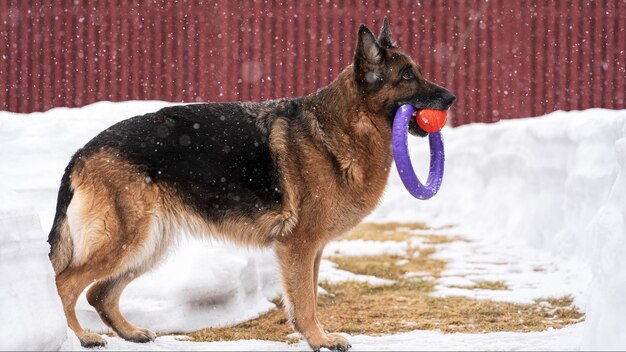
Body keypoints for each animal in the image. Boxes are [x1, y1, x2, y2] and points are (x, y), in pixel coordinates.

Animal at [46, 18, 450, 350]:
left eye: (417, 72)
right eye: (406, 76)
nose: (451, 98)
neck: (343, 127)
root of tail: (82, 152)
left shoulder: (313, 249)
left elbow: (309, 296)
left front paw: (315, 336)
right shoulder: (299, 246)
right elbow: (305, 300)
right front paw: (320, 339)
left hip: (148, 244)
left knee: (99, 293)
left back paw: (130, 332)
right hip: (127, 239)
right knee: (64, 282)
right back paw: (80, 337)